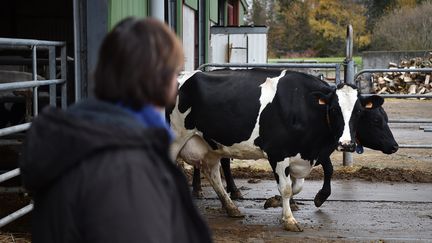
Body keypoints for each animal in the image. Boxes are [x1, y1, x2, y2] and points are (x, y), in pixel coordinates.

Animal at [169, 69, 384, 232]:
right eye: (333, 110)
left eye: (359, 112)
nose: (347, 144)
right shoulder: (278, 153)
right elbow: (286, 188)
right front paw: (289, 220)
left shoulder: (300, 157)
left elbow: (296, 187)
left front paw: (273, 201)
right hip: (176, 137)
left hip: (210, 145)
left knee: (212, 174)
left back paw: (231, 208)